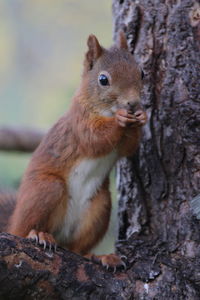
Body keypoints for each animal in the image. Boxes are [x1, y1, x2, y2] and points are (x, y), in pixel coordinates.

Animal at [4, 31, 147, 268]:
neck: (105, 110)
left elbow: (128, 148)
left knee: (76, 249)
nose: (133, 103)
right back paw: (38, 234)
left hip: (100, 206)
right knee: (22, 230)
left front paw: (142, 117)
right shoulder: (79, 122)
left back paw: (99, 256)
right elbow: (95, 139)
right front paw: (120, 120)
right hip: (45, 189)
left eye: (142, 73)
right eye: (103, 80)